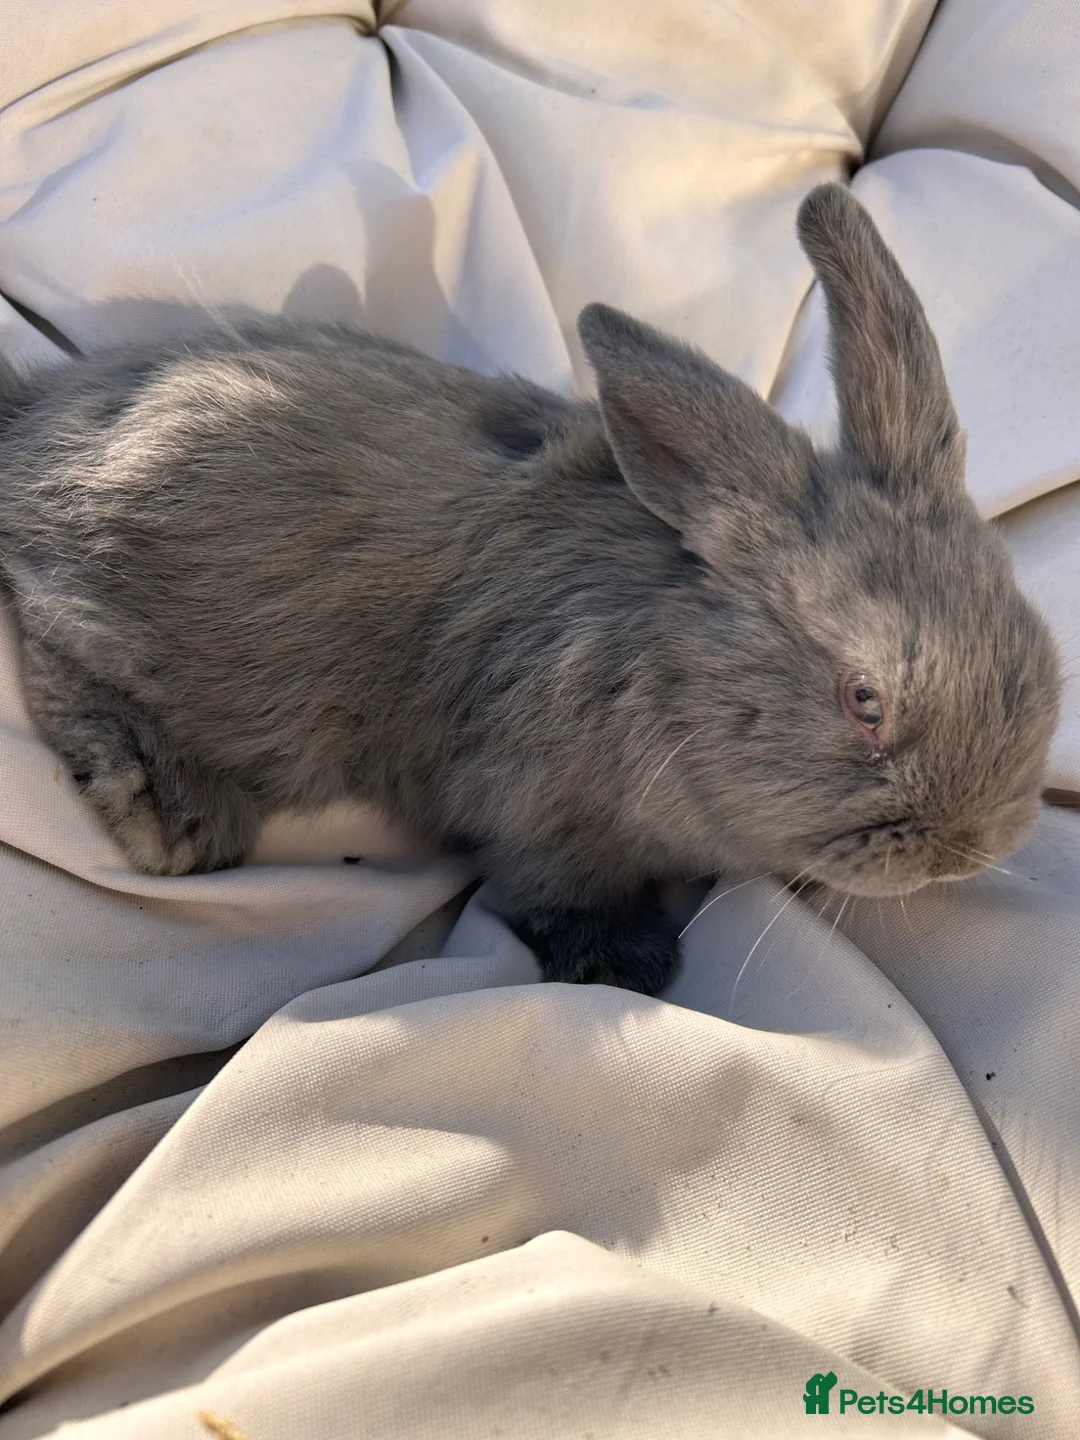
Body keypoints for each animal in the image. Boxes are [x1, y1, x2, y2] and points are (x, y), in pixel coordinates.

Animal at [0, 183, 1060, 995]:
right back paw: (165, 811)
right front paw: (624, 964)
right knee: (51, 628)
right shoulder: (542, 809)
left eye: (1043, 655)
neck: (670, 661)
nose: (971, 847)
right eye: (864, 700)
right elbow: (557, 889)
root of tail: (28, 423)